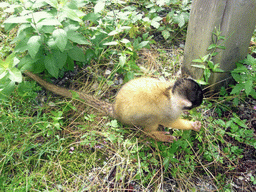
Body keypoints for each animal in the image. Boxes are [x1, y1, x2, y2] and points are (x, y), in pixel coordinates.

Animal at [25, 71, 203, 142]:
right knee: (152, 118)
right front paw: (191, 125)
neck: (170, 94)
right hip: (136, 119)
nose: (203, 100)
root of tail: (116, 110)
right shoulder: (169, 111)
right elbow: (170, 121)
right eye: (199, 98)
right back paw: (153, 134)